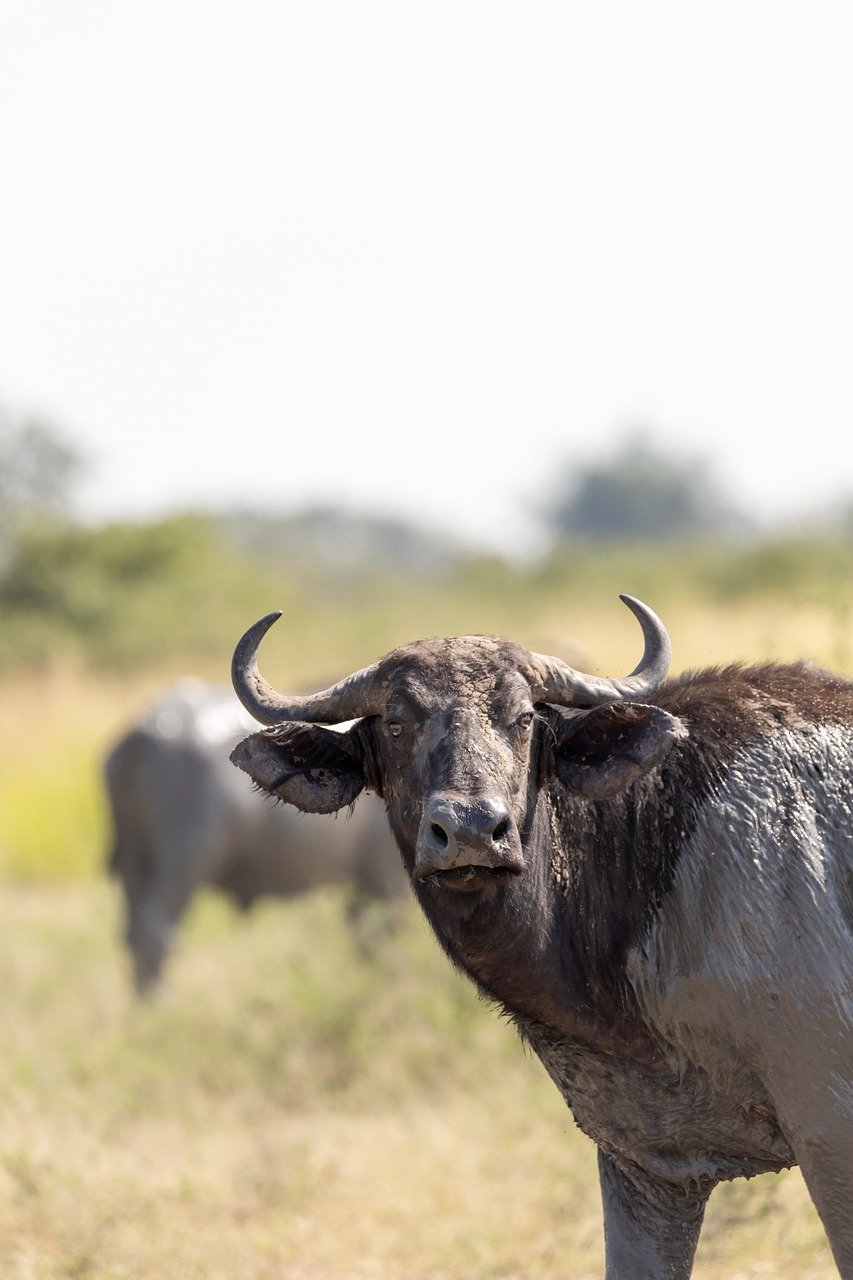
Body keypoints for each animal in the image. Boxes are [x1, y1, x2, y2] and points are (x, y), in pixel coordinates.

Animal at [105, 675, 404, 993]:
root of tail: (146, 733)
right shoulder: (387, 881)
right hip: (182, 864)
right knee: (155, 931)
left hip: (134, 863)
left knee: (132, 933)